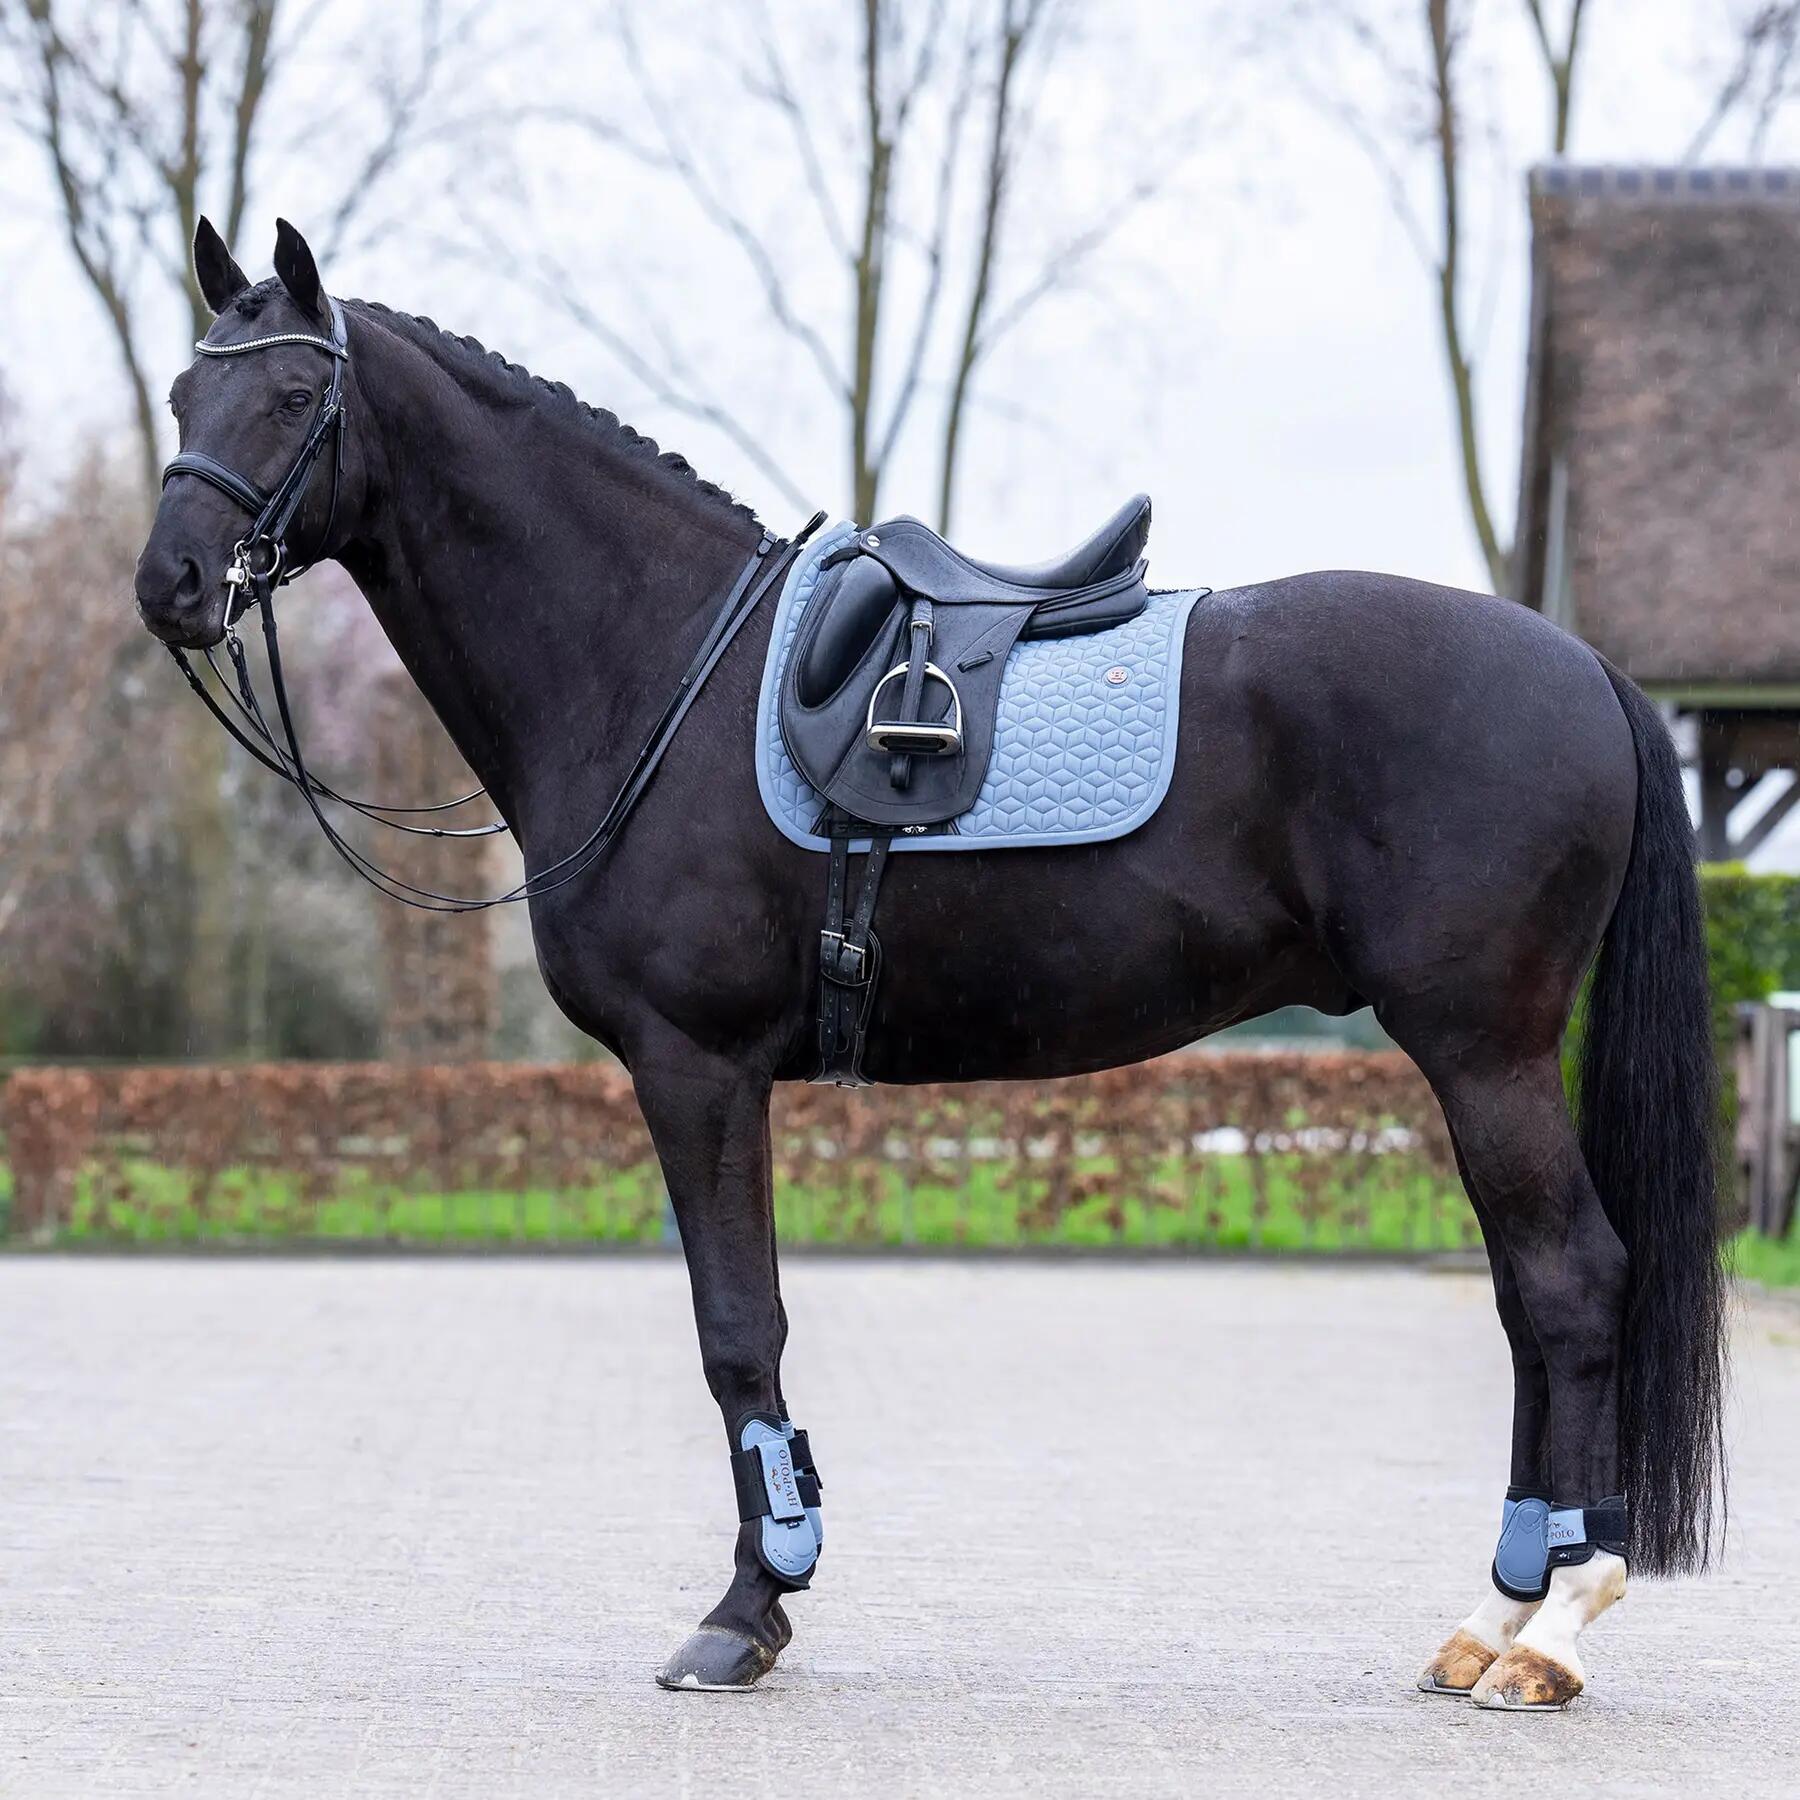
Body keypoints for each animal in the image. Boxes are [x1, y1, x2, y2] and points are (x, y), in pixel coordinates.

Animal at [132, 219, 1726, 1707]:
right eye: (181, 397)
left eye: (293, 397)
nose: (170, 588)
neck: (656, 666)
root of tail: (1582, 667)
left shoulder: (697, 1068)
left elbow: (737, 1332)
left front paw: (748, 1610)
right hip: (1486, 1059)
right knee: (1528, 1301)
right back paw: (1495, 1616)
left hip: (1482, 1048)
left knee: (1572, 1283)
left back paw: (1555, 1628)